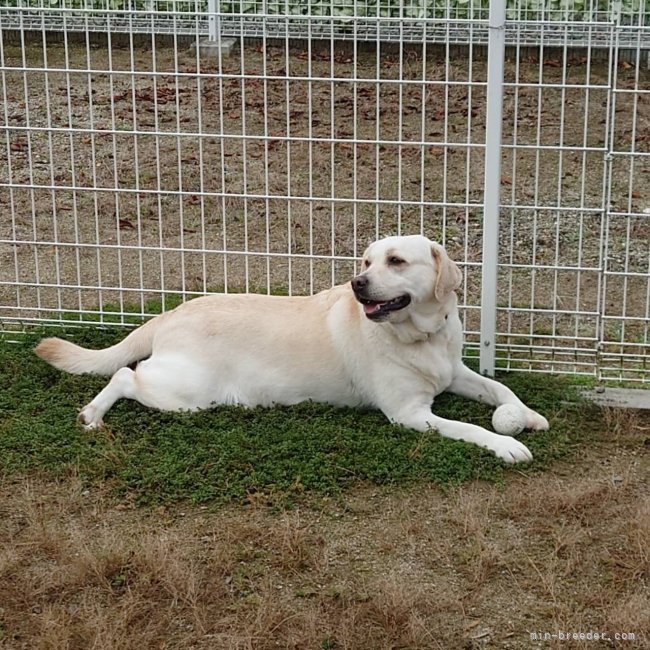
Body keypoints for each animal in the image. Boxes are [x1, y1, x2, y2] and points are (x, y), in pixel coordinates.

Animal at [35, 235, 548, 464]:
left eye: (397, 261)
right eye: (366, 261)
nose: (357, 283)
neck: (422, 337)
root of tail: (171, 312)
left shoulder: (455, 373)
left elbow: (500, 391)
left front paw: (528, 416)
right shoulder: (411, 414)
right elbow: (469, 428)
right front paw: (507, 444)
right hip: (185, 395)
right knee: (124, 374)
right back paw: (93, 415)